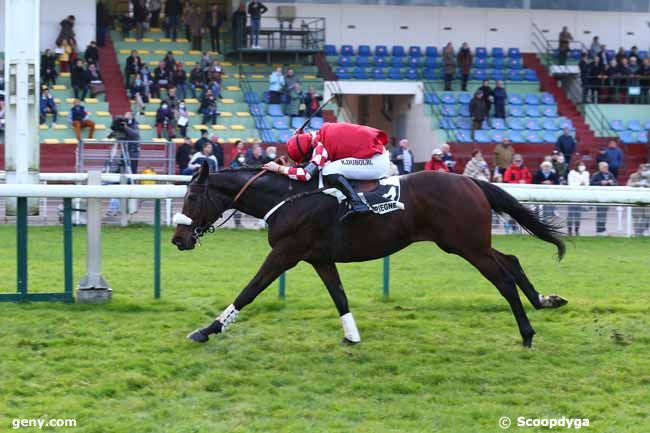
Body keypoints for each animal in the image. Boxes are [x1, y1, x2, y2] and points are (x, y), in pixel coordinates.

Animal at [170, 162, 564, 348]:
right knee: (511, 260)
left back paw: (527, 334)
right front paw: (352, 336)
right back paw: (546, 299)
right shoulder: (319, 258)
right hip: (469, 243)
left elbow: (248, 291)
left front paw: (206, 330)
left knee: (504, 279)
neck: (289, 198)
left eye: (192, 197)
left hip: (467, 246)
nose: (177, 239)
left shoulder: (285, 252)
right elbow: (339, 296)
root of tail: (470, 181)